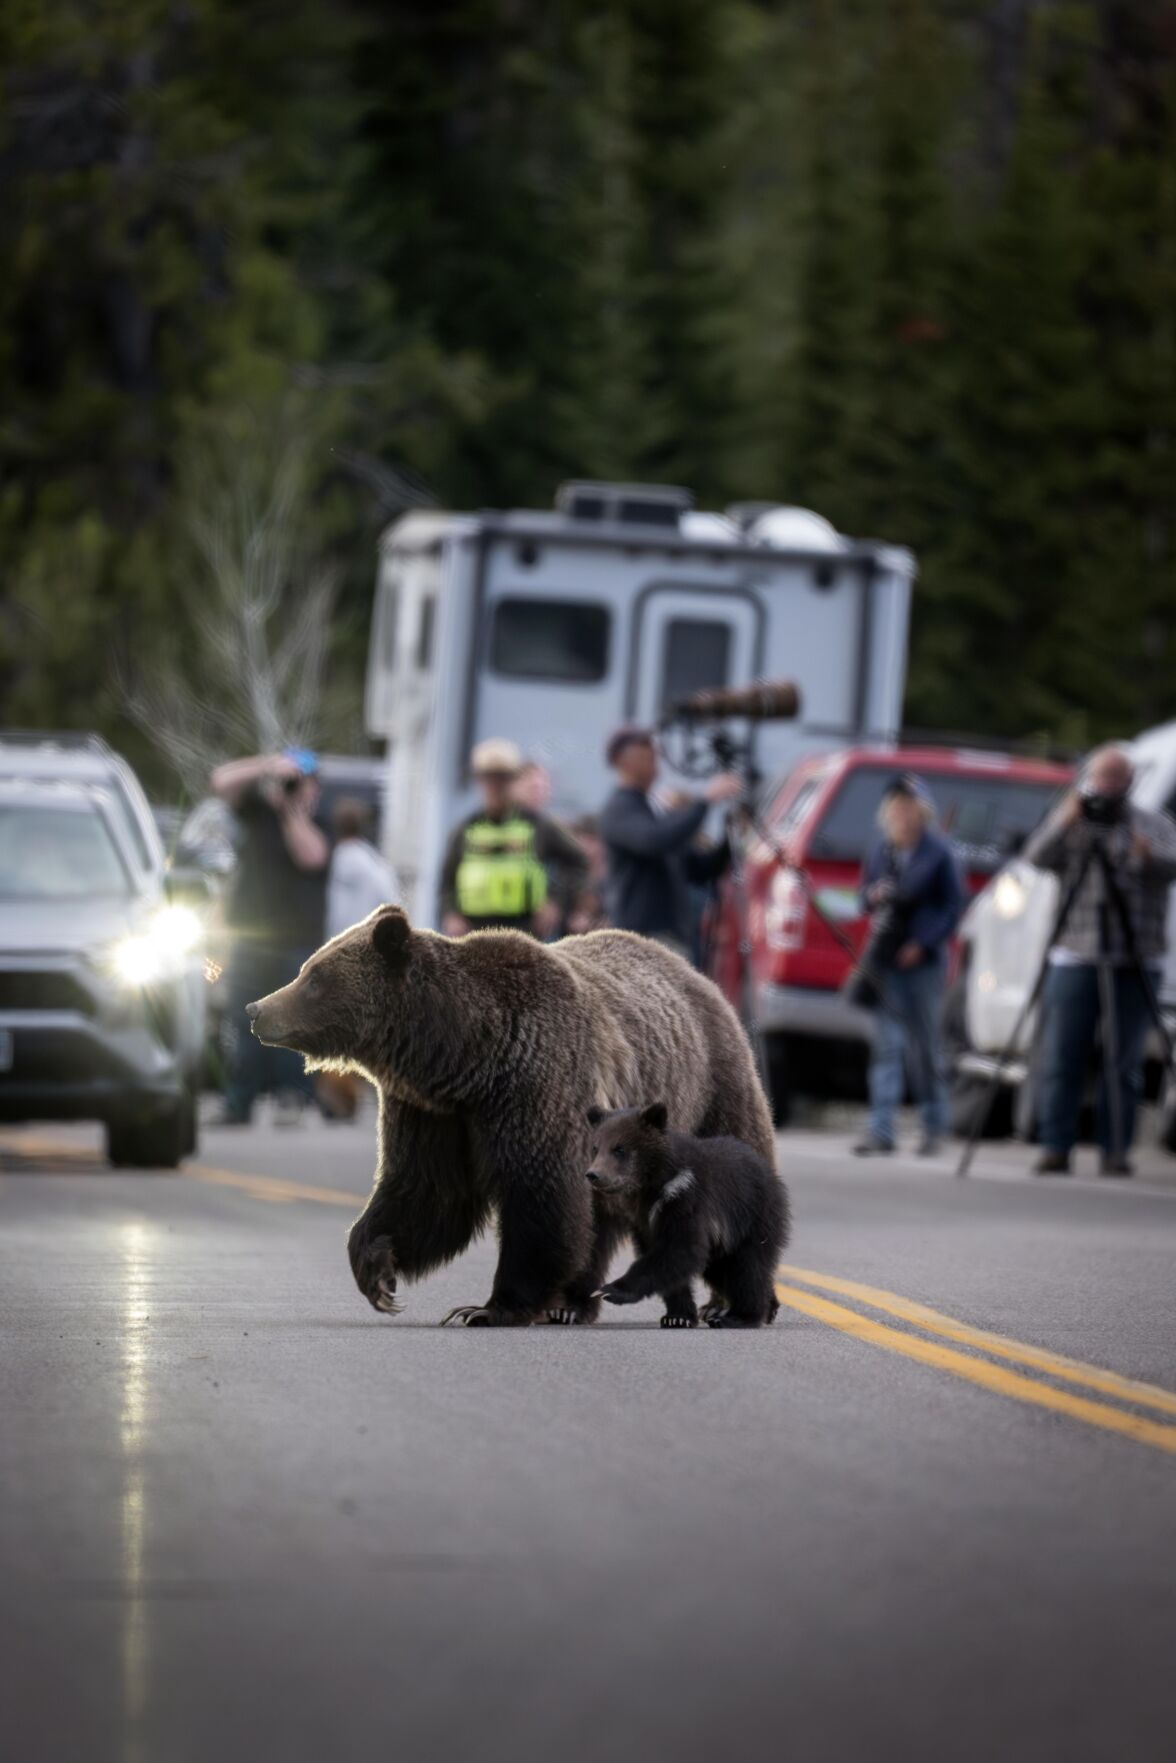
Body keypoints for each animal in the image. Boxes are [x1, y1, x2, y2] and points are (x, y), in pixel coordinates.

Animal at [581, 1100, 786, 1325]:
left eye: (619, 1149)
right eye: (595, 1148)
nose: (593, 1174)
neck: (652, 1186)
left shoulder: (686, 1200)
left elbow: (681, 1248)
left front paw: (609, 1290)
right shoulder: (643, 1220)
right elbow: (664, 1258)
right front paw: (677, 1316)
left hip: (753, 1217)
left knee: (747, 1268)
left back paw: (741, 1316)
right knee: (722, 1269)